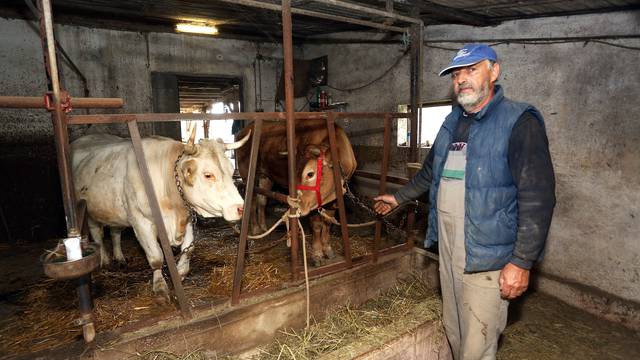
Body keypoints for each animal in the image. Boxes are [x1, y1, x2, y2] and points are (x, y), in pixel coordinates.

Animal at [71, 128, 249, 300]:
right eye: (208, 175)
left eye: (231, 171)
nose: (240, 208)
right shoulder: (141, 221)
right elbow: (156, 257)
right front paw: (160, 288)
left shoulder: (187, 218)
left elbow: (189, 249)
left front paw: (180, 273)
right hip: (90, 212)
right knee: (98, 235)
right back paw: (105, 260)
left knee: (115, 232)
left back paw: (120, 258)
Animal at [235, 119, 358, 266]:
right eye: (294, 172)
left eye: (310, 174)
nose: (298, 205)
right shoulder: (312, 205)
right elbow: (317, 225)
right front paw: (317, 254)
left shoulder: (333, 200)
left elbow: (328, 222)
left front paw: (328, 249)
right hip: (247, 175)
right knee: (252, 201)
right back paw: (255, 229)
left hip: (266, 176)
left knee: (262, 200)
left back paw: (264, 227)